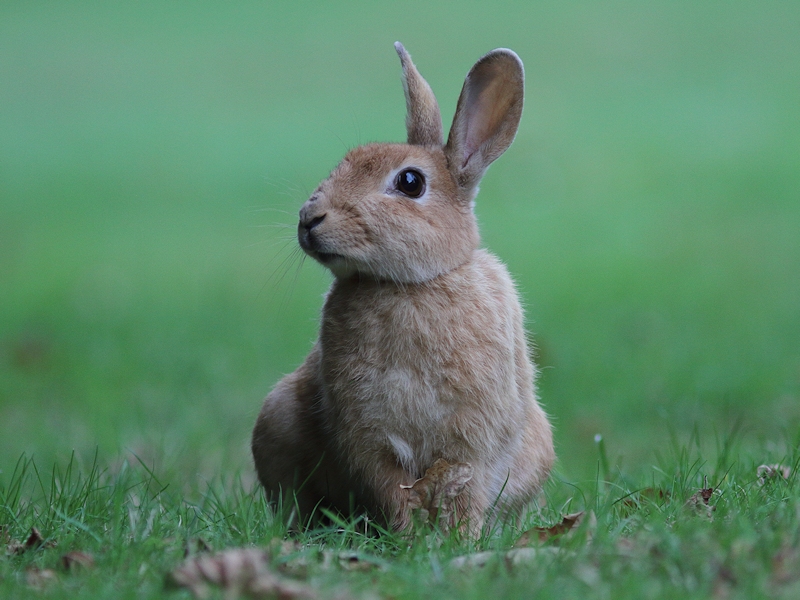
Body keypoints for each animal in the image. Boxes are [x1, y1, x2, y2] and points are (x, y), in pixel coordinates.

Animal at [253, 41, 552, 528]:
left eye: (410, 182)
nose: (309, 219)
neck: (409, 285)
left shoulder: (476, 436)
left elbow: (466, 488)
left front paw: (458, 538)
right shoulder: (365, 436)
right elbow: (391, 489)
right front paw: (409, 536)